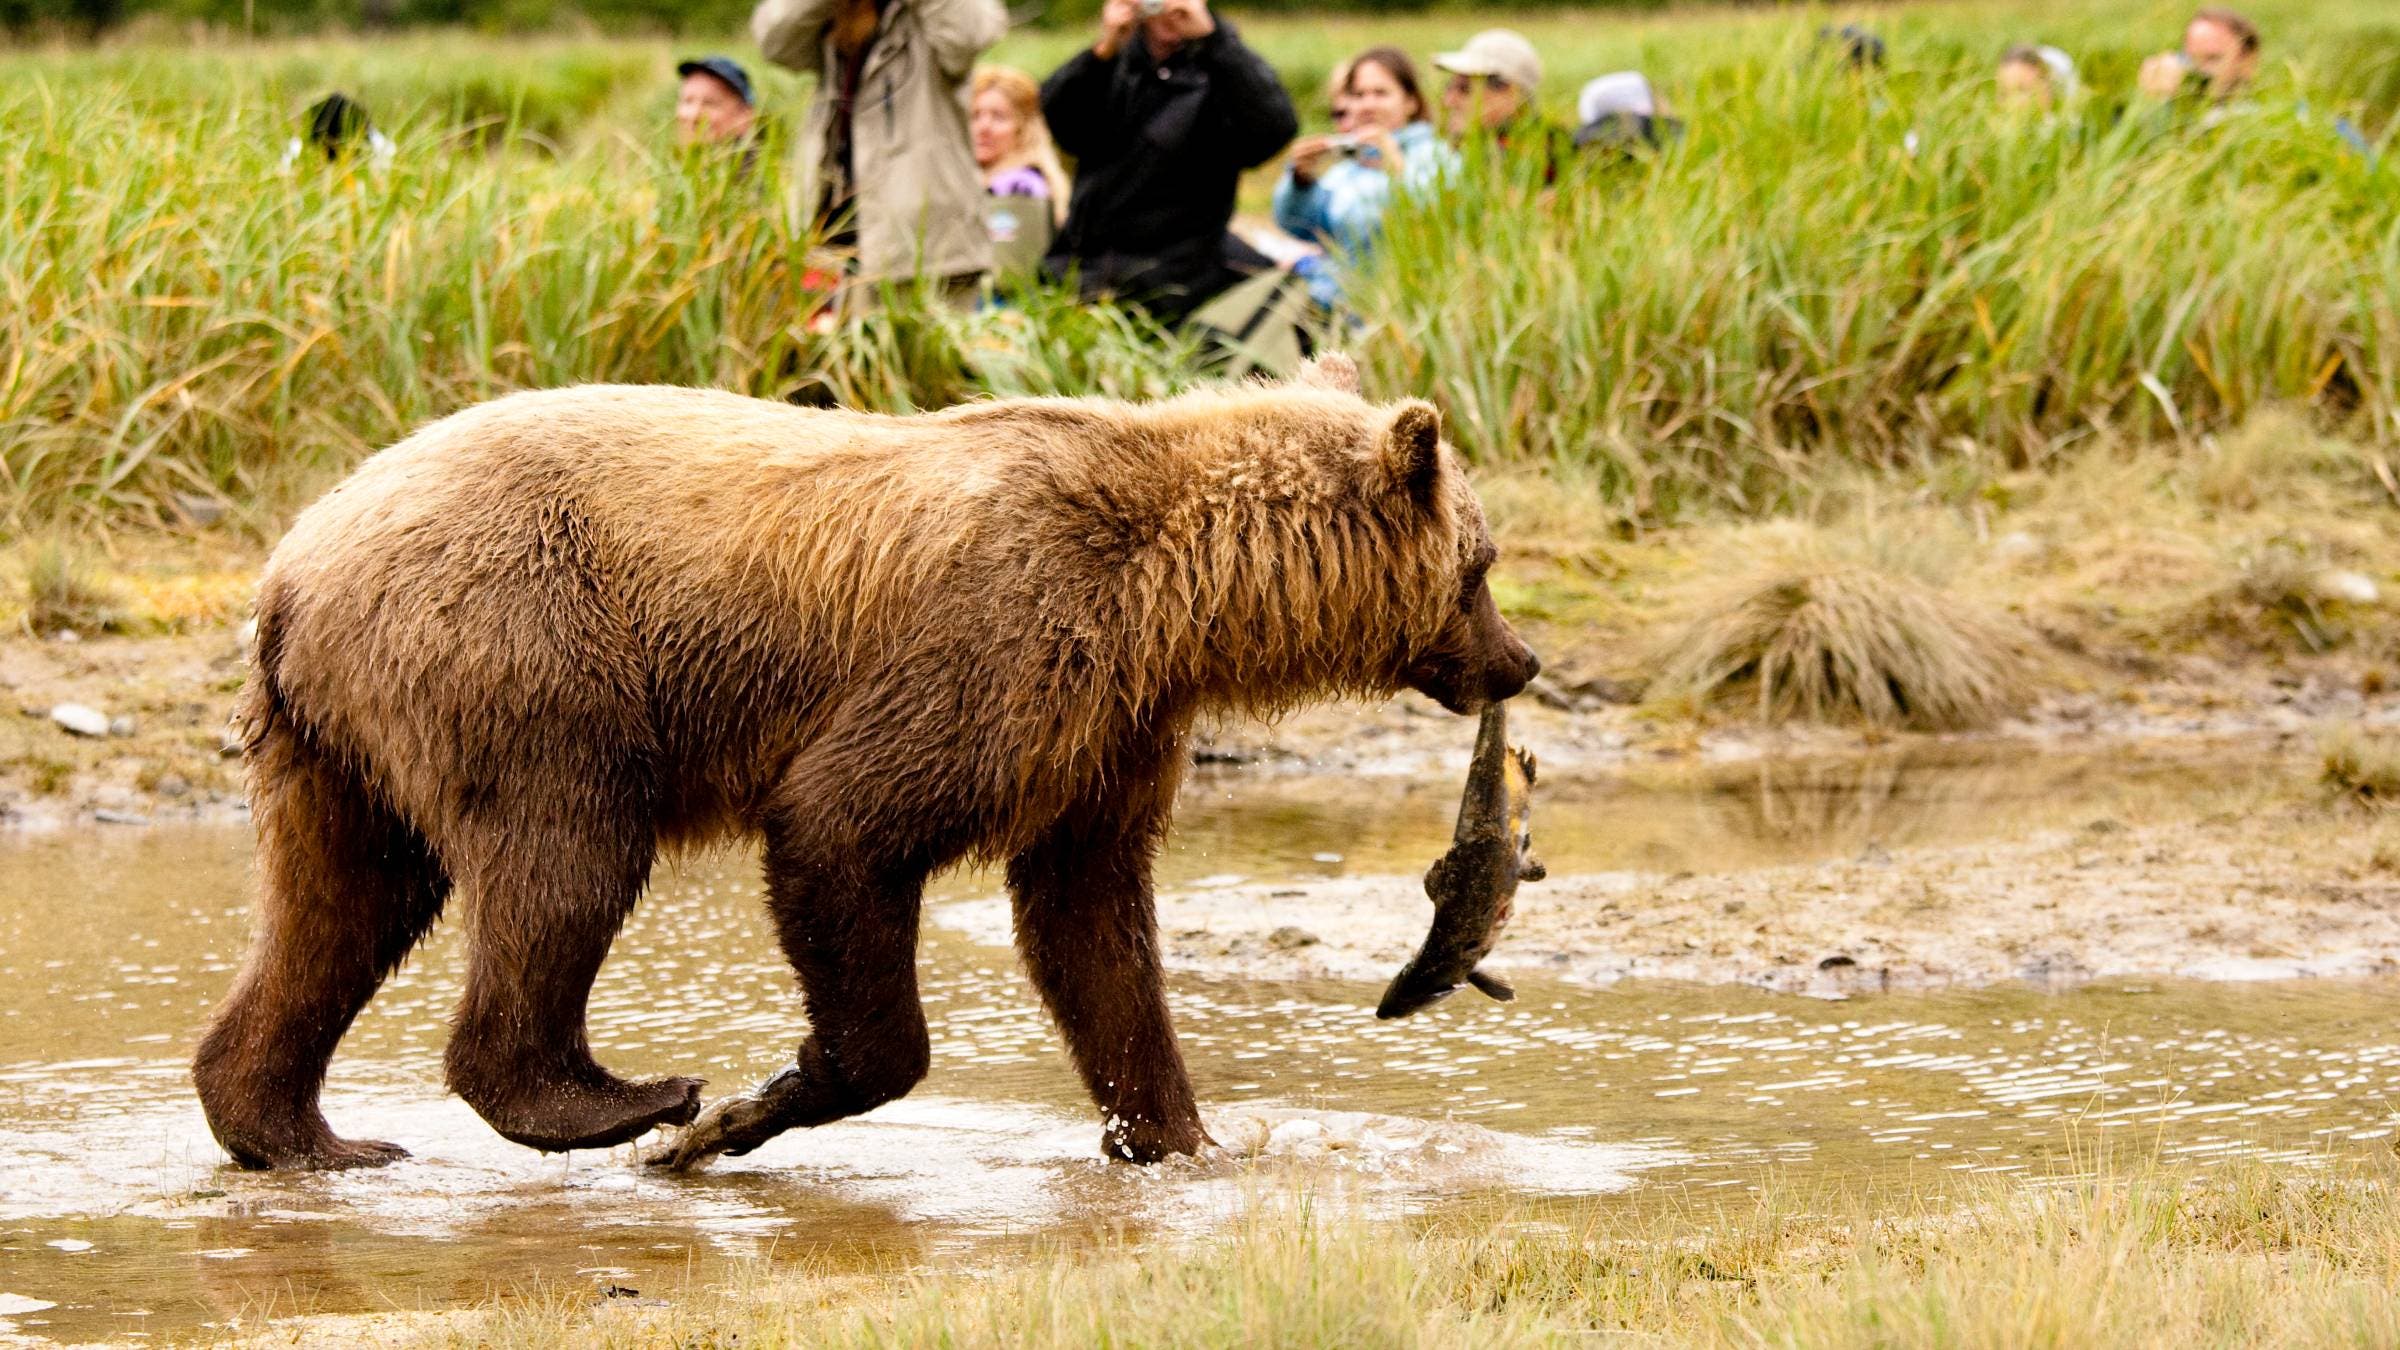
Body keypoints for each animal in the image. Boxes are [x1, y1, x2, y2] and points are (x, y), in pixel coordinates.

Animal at [191, 354, 1541, 1171]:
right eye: (1479, 564)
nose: (1520, 661)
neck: (1179, 598)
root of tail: (294, 564)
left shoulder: (1107, 727)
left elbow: (1092, 921)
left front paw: (1175, 1134)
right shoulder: (1003, 640)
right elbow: (846, 825)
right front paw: (754, 1105)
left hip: (338, 741)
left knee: (340, 907)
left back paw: (295, 1130)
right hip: (527, 650)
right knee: (562, 858)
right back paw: (622, 1099)